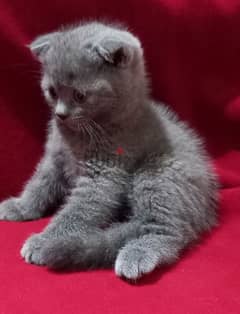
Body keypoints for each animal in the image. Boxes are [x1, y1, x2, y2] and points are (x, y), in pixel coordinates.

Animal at [0, 22, 218, 280]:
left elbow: (77, 211)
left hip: (158, 173)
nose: (60, 114)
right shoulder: (54, 159)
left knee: (168, 228)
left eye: (80, 95)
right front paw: (20, 207)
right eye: (52, 91)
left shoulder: (104, 173)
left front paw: (44, 240)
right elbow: (39, 185)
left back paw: (136, 253)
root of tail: (205, 208)